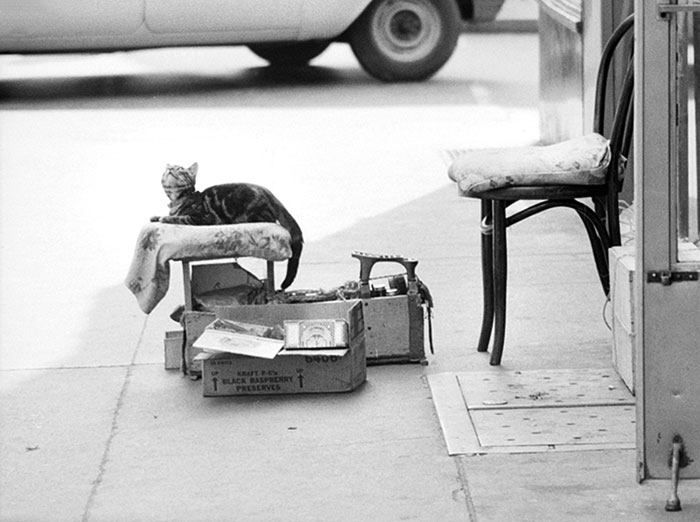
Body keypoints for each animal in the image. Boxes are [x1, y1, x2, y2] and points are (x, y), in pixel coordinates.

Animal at [150, 162, 304, 288]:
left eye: (180, 169)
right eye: (168, 168)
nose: (170, 168)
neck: (177, 200)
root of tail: (267, 191)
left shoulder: (203, 218)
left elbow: (179, 218)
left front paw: (164, 218)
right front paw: (155, 216)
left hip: (253, 213)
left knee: (270, 219)